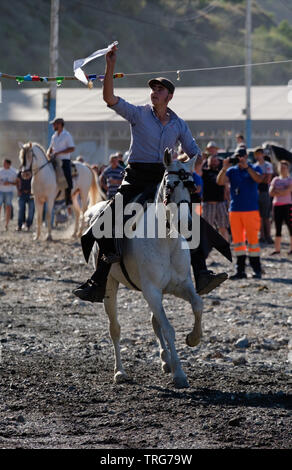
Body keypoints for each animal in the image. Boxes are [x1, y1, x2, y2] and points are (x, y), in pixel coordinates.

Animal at [85, 151, 202, 390]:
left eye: (192, 187)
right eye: (170, 186)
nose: (186, 224)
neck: (166, 240)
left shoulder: (180, 286)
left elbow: (197, 305)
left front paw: (193, 338)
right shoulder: (152, 291)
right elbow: (168, 329)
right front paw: (179, 374)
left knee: (154, 321)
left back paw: (165, 360)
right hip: (110, 286)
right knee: (115, 328)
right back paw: (120, 371)